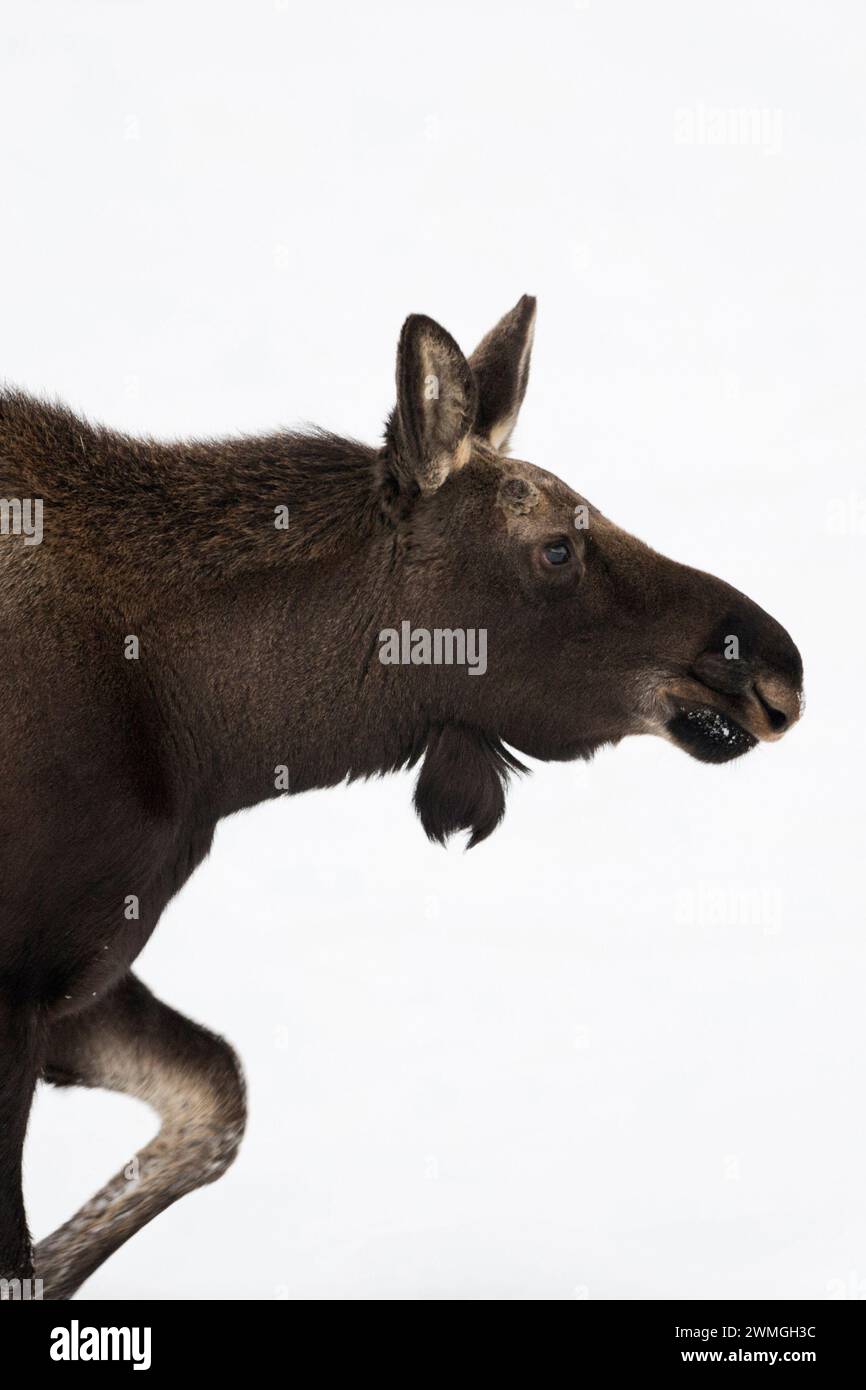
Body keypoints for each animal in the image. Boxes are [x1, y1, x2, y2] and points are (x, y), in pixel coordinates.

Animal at [0, 298, 806, 1295]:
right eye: (557, 547)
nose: (777, 666)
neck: (213, 741)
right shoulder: (18, 988)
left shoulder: (75, 977)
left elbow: (216, 1099)